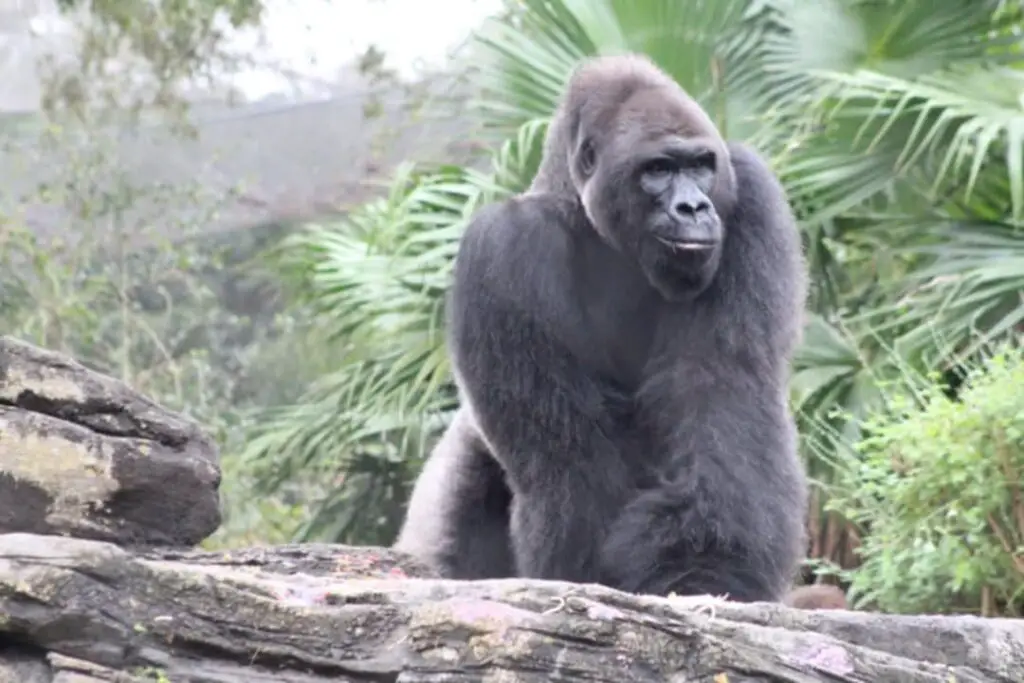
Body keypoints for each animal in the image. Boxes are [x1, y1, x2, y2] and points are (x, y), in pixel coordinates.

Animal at [395, 50, 811, 602]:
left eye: (701, 166)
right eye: (658, 169)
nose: (694, 207)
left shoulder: (749, 192)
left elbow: (721, 397)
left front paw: (706, 571)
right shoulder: (505, 245)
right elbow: (569, 457)